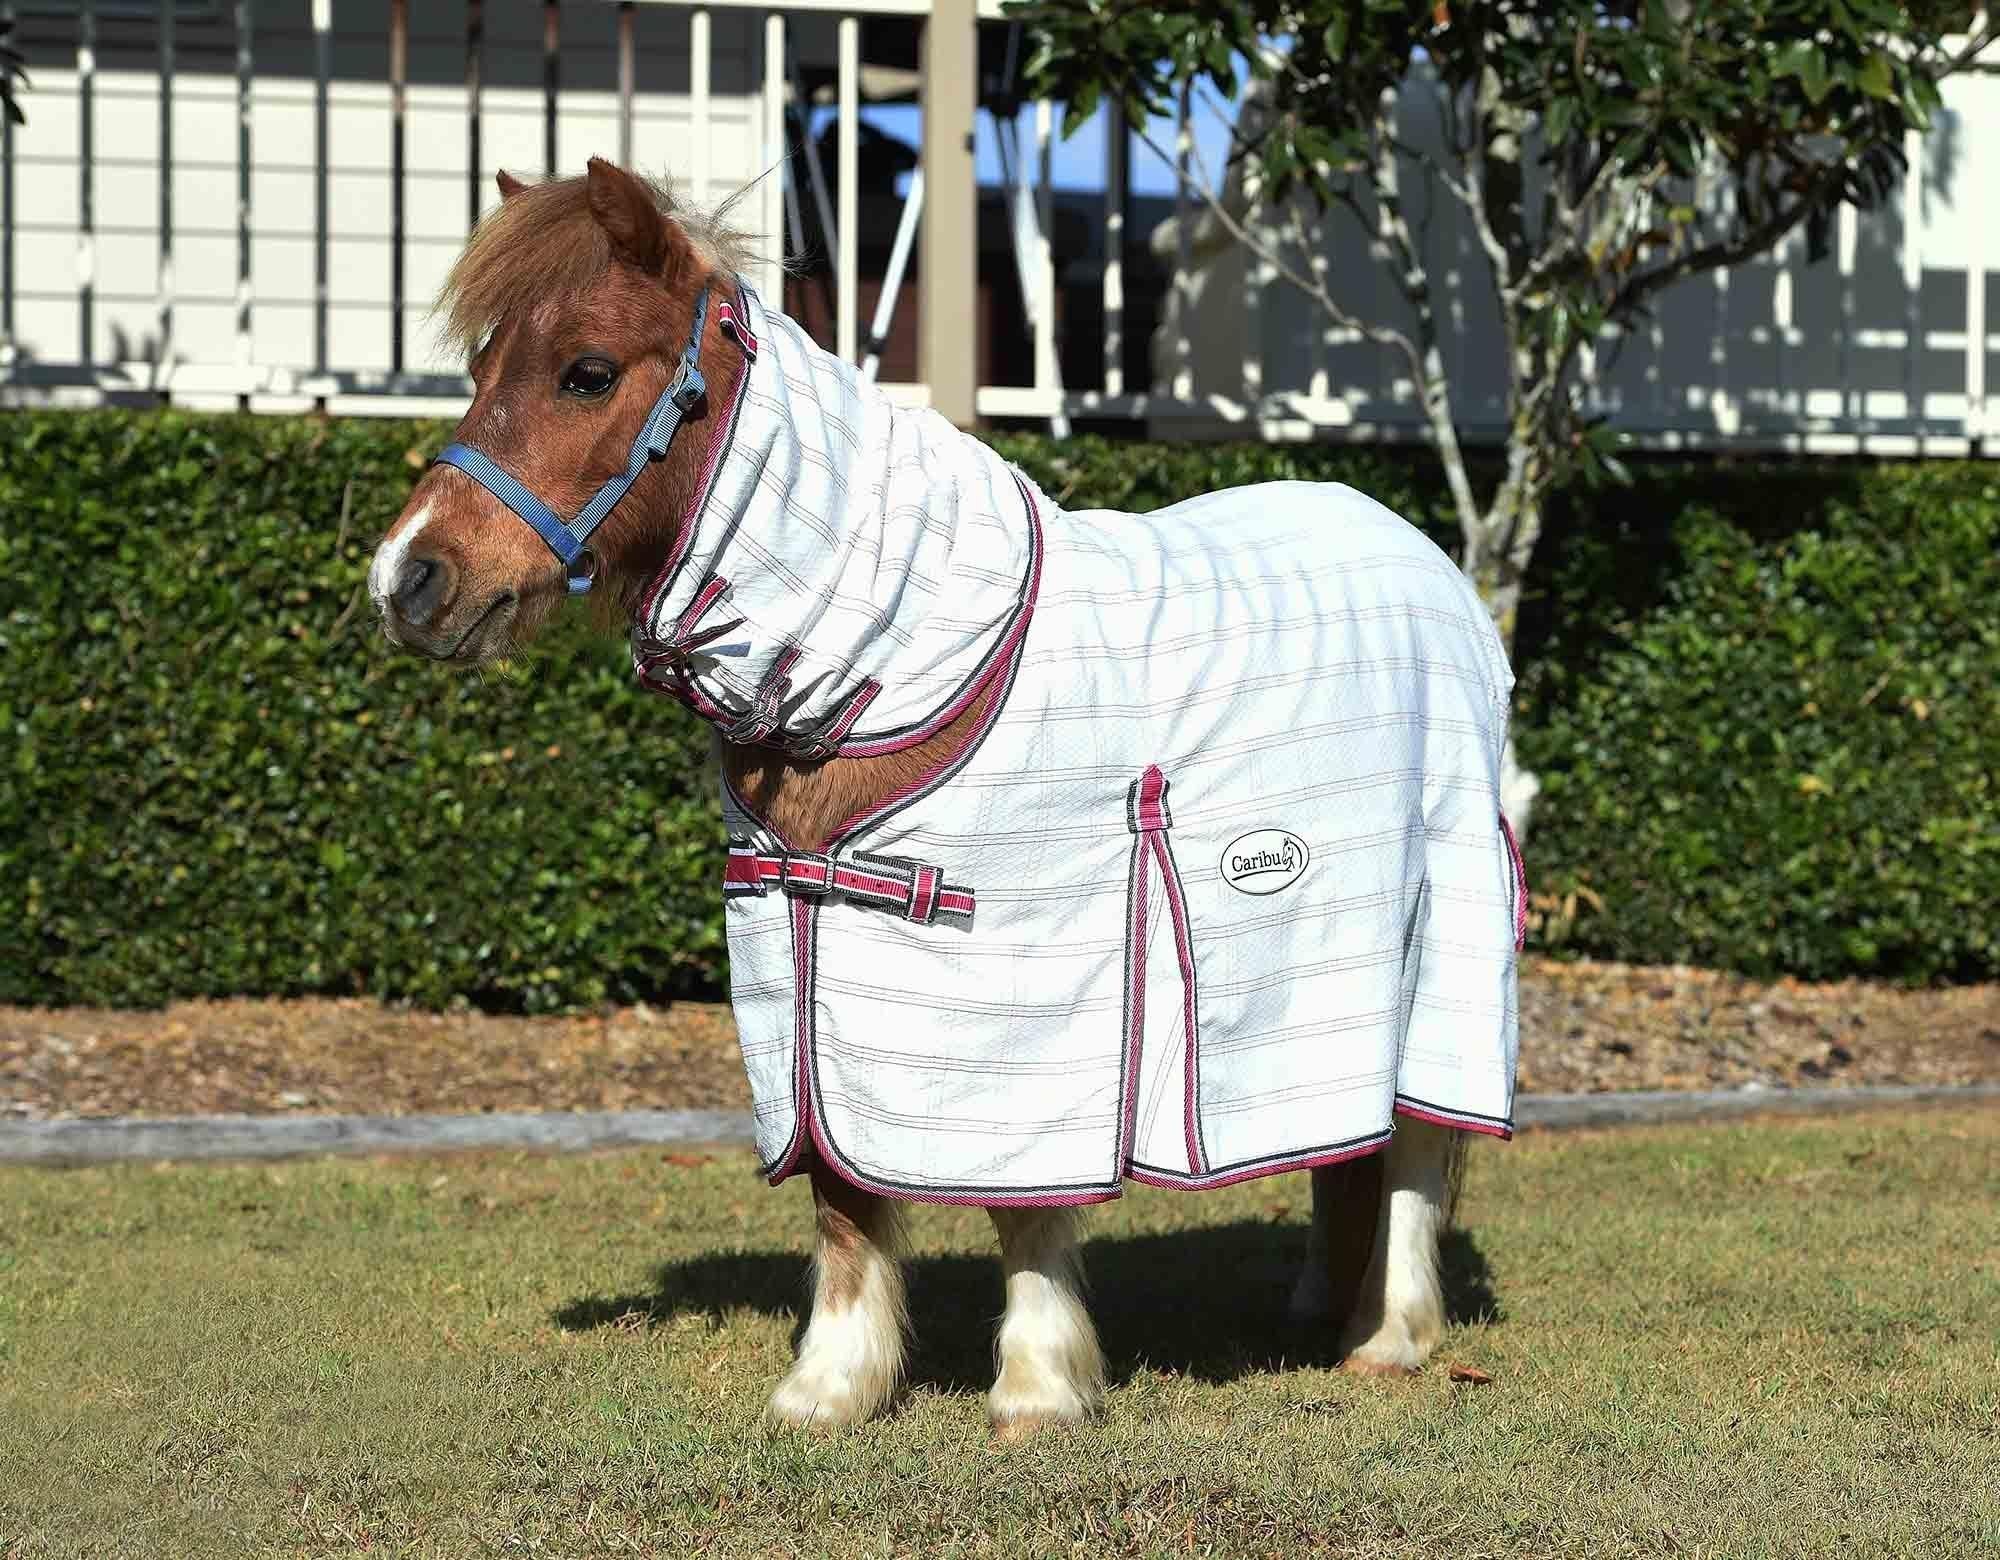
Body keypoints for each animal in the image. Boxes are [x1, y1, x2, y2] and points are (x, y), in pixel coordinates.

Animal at [370, 158, 1522, 1436]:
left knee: (1412, 1145)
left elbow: (1023, 1203)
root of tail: (1431, 570)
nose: (408, 579)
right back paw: (1320, 1303)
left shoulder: (1032, 987)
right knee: (1342, 1144)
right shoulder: (798, 967)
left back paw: (1388, 1335)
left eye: (585, 371)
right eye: (480, 368)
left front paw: (1034, 1387)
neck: (888, 656)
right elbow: (839, 1193)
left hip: (1436, 934)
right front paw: (829, 1387)